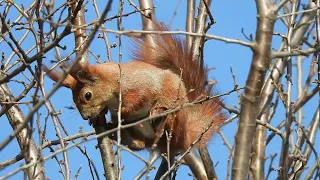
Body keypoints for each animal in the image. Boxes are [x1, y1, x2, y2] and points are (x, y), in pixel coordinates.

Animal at [44, 24, 225, 180]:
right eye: (73, 100)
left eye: (87, 95)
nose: (85, 116)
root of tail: (184, 139)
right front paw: (99, 117)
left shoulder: (140, 88)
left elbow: (137, 102)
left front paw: (119, 113)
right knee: (141, 144)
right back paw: (116, 132)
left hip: (175, 106)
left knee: (168, 120)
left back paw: (159, 117)